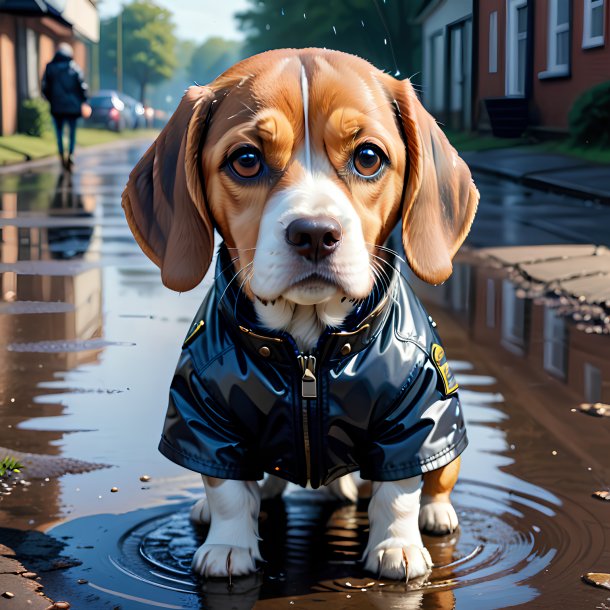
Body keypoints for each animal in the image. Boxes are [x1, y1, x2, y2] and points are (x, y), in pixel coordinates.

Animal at [121, 47, 478, 580]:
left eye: (368, 157)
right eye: (246, 160)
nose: (314, 233)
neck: (307, 347)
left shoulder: (415, 414)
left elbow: (397, 491)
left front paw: (396, 546)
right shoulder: (205, 417)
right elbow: (227, 490)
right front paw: (228, 545)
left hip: (443, 430)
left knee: (436, 477)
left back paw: (435, 512)